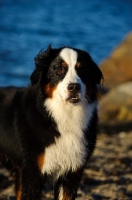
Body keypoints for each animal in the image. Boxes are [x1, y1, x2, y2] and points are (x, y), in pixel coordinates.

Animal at [0, 45, 103, 200]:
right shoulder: (32, 173)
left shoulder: (71, 173)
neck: (64, 117)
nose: (74, 87)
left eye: (82, 69)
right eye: (59, 70)